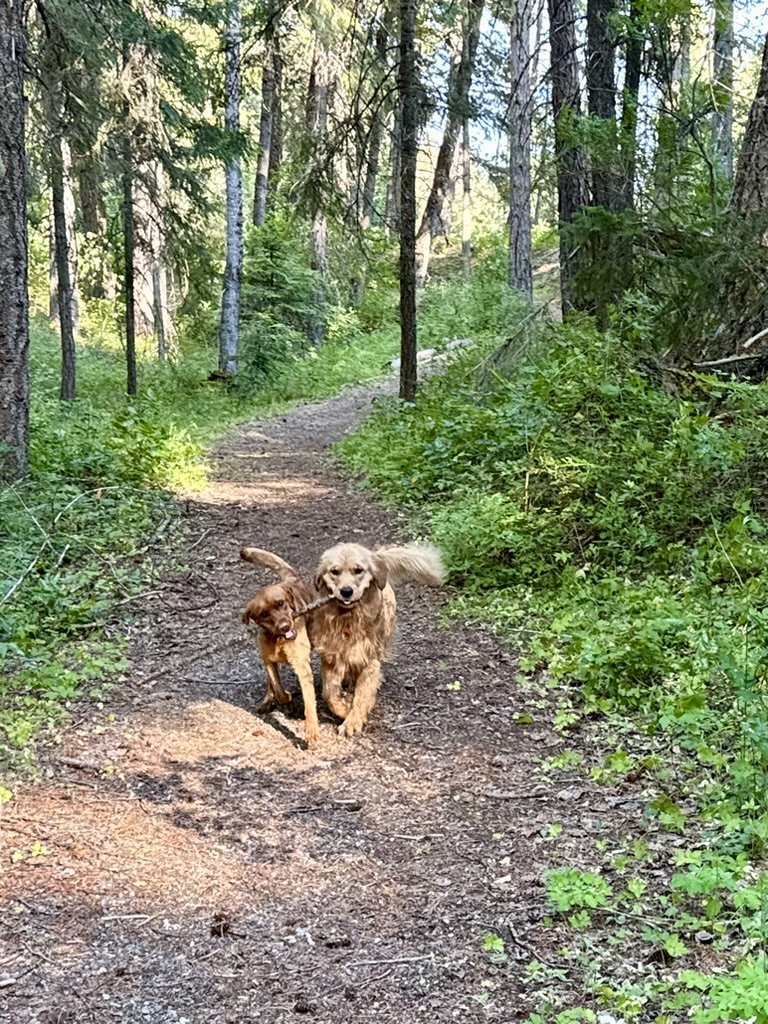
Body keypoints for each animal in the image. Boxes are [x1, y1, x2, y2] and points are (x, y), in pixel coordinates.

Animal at [240, 548, 320, 747]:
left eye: (281, 603)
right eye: (264, 614)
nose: (284, 626)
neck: (278, 639)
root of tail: (291, 579)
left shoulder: (302, 667)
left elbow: (309, 703)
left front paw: (311, 732)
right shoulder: (268, 661)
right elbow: (277, 686)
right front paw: (284, 696)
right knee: (271, 684)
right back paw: (267, 700)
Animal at [310, 542, 444, 737]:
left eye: (358, 570)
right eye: (334, 571)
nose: (346, 591)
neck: (348, 619)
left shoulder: (369, 661)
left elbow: (362, 695)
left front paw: (352, 721)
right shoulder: (330, 658)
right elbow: (329, 693)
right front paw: (344, 709)